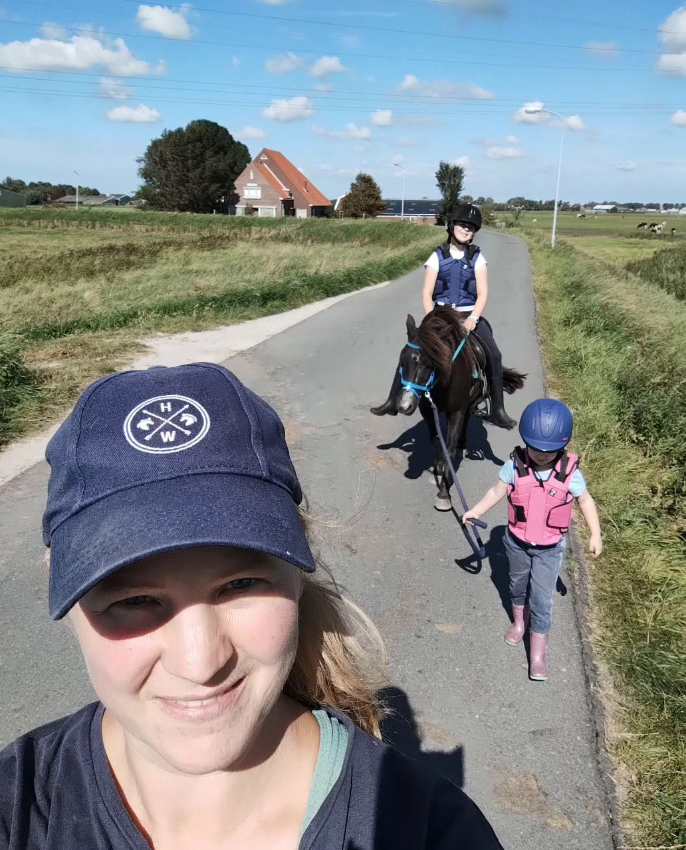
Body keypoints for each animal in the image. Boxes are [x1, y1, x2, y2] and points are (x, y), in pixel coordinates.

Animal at [398, 312, 528, 510]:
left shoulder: (457, 411)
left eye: (429, 364)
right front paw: (438, 468)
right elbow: (436, 441)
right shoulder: (427, 410)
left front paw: (444, 493)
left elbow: (449, 448)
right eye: (403, 360)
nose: (405, 405)